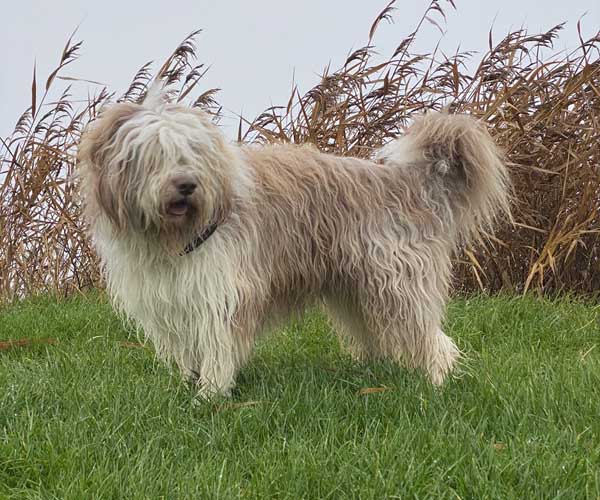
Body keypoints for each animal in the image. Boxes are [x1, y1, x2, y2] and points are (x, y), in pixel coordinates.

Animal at [78, 91, 509, 398]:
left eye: (194, 152)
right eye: (153, 155)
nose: (186, 184)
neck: (170, 236)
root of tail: (407, 181)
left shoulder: (224, 291)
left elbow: (218, 343)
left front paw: (210, 395)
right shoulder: (173, 297)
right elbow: (188, 347)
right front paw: (188, 384)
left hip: (397, 282)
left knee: (430, 336)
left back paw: (438, 382)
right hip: (355, 286)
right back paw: (373, 372)